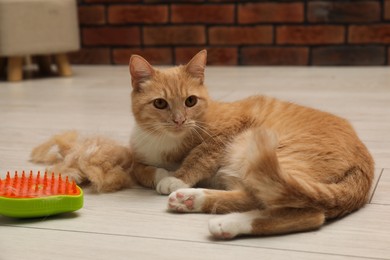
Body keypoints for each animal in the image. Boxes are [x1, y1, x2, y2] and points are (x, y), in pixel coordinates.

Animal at [129, 49, 374, 239]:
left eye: (191, 101)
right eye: (160, 103)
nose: (179, 120)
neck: (165, 140)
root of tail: (364, 161)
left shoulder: (227, 131)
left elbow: (199, 155)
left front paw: (175, 178)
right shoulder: (137, 154)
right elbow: (138, 169)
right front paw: (161, 174)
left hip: (262, 154)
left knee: (304, 211)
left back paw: (212, 212)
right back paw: (198, 205)